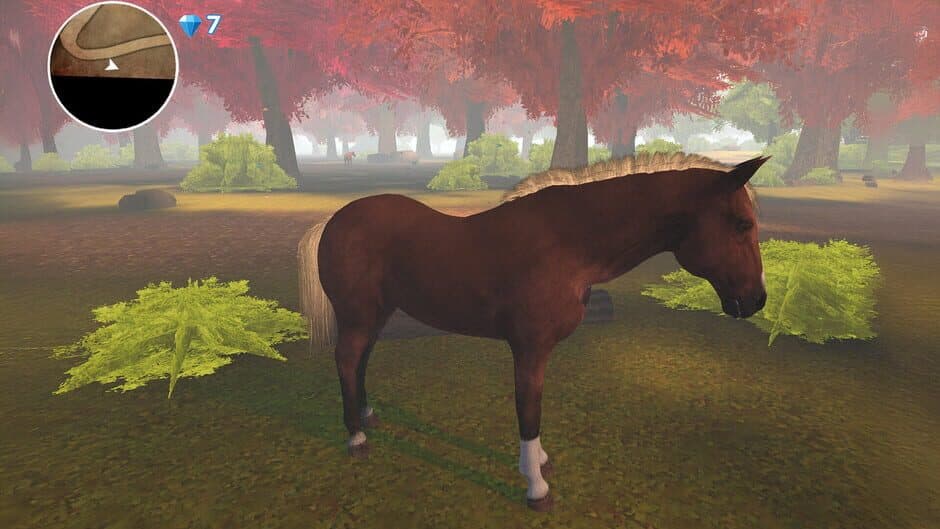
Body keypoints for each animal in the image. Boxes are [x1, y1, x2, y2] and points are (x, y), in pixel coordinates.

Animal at [297, 152, 769, 512]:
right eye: (742, 224)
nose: (756, 300)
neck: (567, 242)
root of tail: (334, 220)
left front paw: (540, 464)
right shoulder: (529, 349)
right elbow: (529, 411)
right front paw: (536, 487)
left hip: (377, 315)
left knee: (361, 359)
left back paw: (367, 416)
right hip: (358, 316)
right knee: (347, 359)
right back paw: (356, 437)